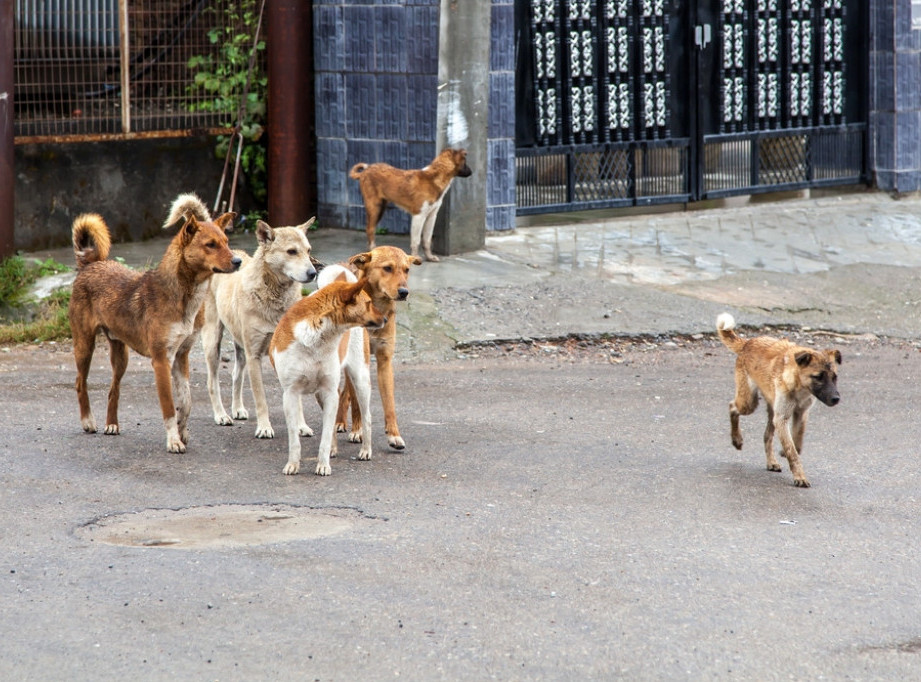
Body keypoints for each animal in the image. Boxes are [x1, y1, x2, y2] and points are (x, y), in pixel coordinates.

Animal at [69, 195, 239, 452]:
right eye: (210, 244)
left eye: (227, 242)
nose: (238, 261)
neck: (184, 295)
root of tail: (90, 264)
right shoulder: (161, 361)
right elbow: (169, 407)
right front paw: (173, 440)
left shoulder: (181, 357)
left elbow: (186, 402)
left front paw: (182, 431)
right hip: (84, 346)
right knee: (80, 383)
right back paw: (88, 421)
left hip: (121, 356)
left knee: (113, 389)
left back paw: (112, 424)